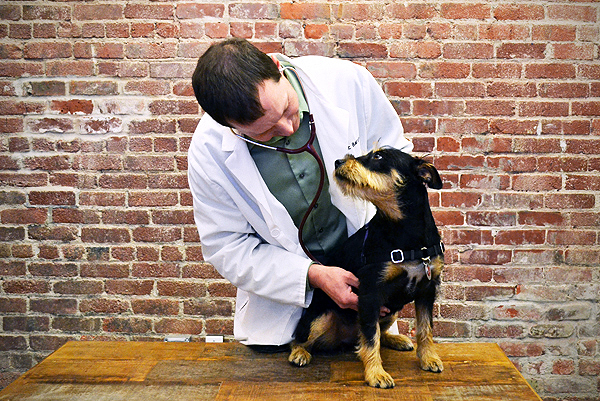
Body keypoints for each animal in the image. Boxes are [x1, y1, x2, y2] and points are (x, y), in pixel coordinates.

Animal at [290, 147, 446, 388]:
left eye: (378, 157)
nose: (337, 162)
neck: (404, 232)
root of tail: (343, 338)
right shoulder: (370, 293)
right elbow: (371, 339)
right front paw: (376, 374)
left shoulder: (427, 290)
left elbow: (425, 328)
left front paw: (429, 358)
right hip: (320, 318)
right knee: (299, 338)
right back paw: (299, 353)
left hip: (390, 312)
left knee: (376, 333)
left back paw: (396, 339)